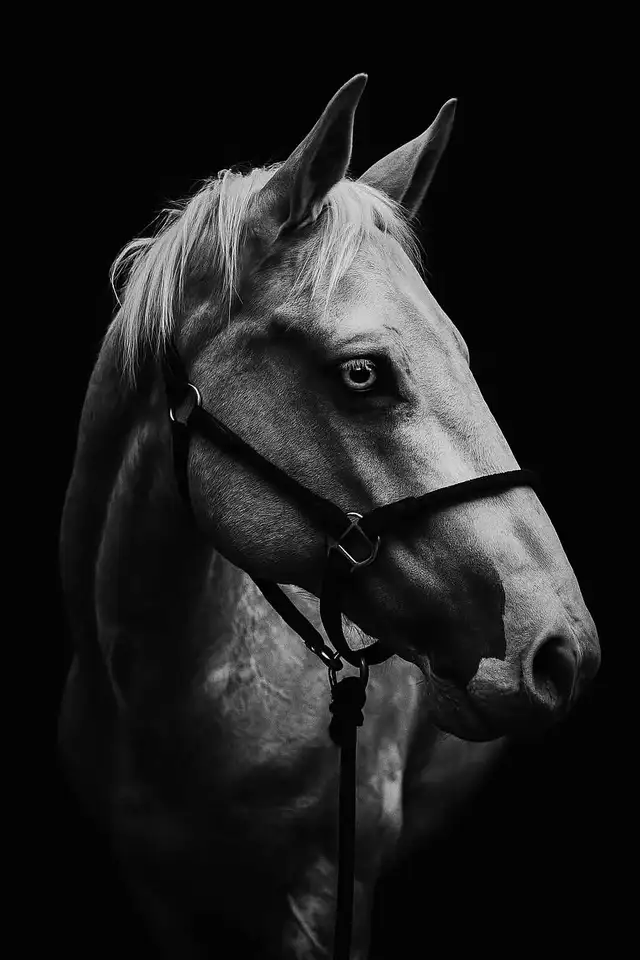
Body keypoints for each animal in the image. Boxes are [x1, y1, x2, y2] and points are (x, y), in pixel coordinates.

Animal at [58, 74, 601, 959]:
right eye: (362, 373)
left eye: (464, 355)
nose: (563, 652)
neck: (163, 698)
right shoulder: (159, 897)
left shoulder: (324, 896)